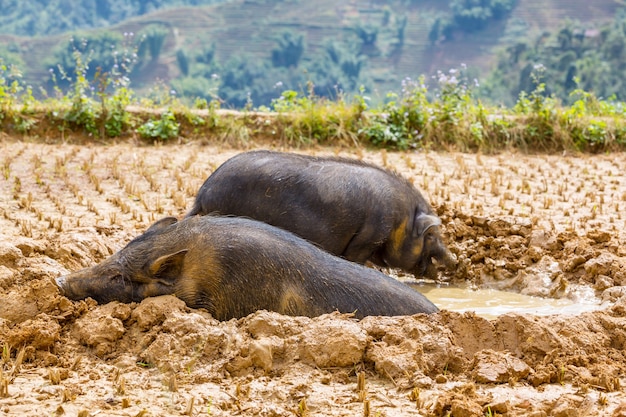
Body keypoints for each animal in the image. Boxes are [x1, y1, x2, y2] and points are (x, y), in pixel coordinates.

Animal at [185, 150, 454, 280]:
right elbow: (356, 260)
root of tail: (204, 192)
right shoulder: (367, 238)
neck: (400, 219)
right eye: (431, 236)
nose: (456, 260)